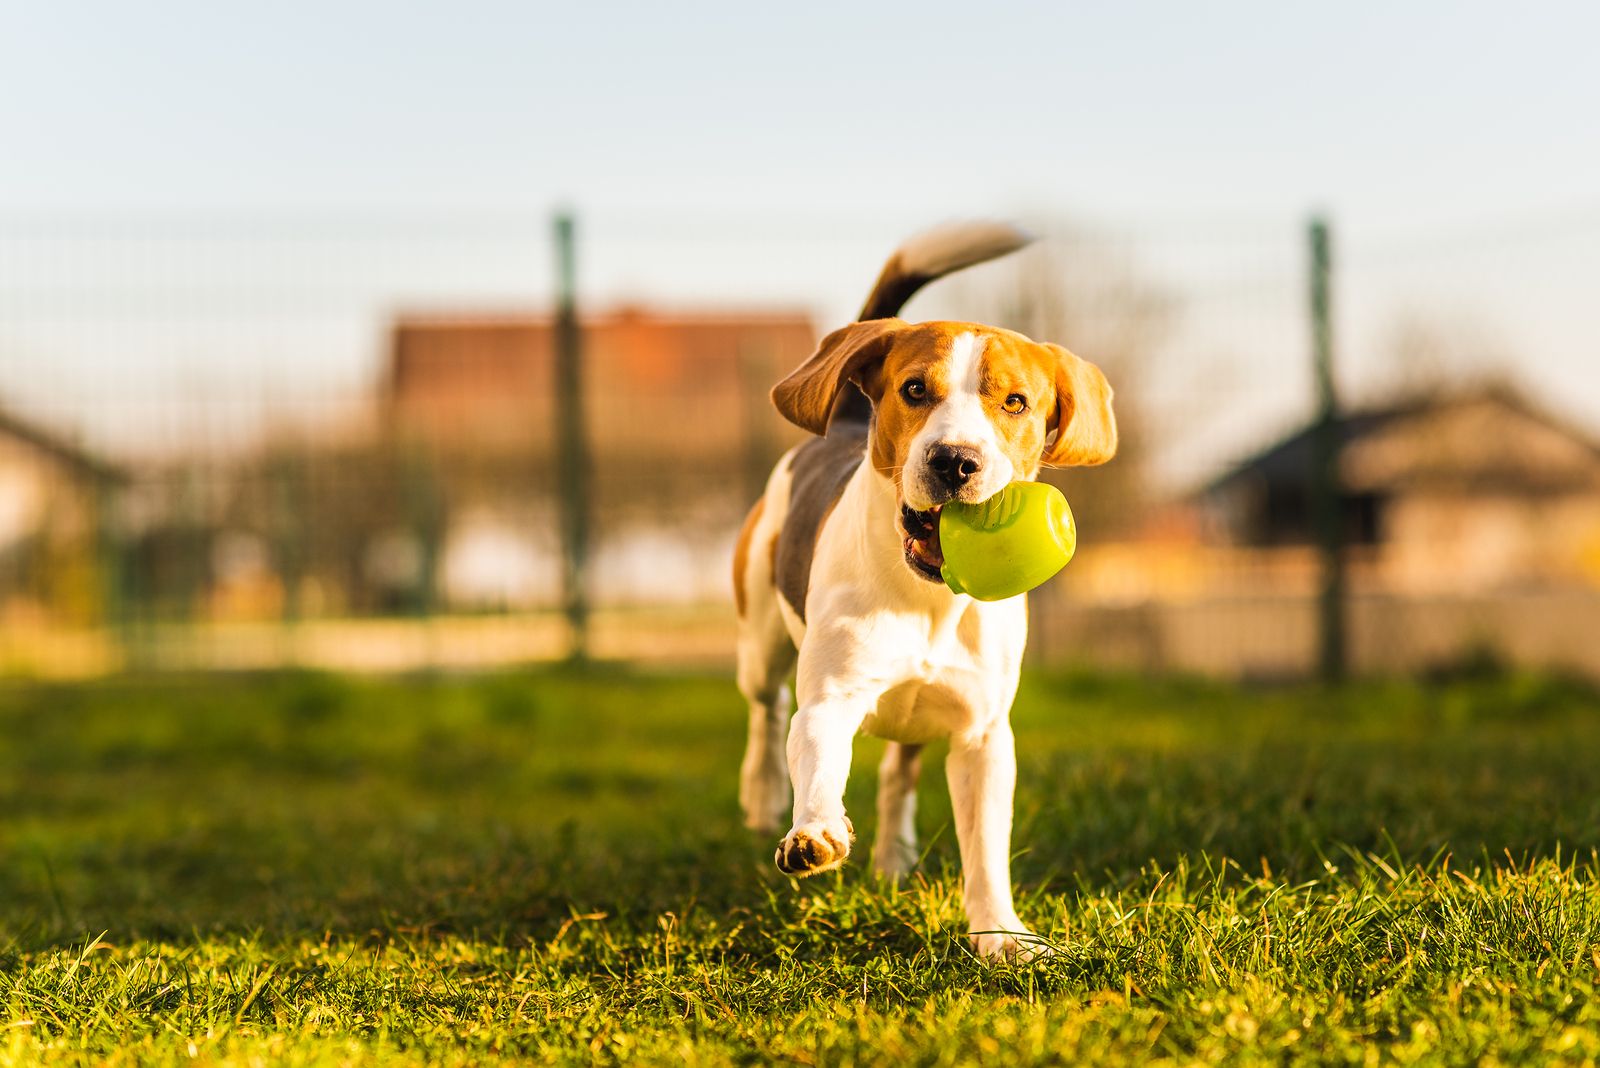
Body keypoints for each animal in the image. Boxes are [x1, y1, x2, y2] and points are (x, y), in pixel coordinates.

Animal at [732, 223, 1120, 959]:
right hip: (761, 633)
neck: (932, 598)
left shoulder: (983, 735)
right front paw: (814, 833)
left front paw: (1002, 937)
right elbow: (817, 757)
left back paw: (892, 858)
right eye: (914, 389)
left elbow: (985, 850)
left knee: (896, 777)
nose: (954, 461)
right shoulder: (830, 698)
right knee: (765, 711)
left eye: (1015, 402)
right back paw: (763, 795)